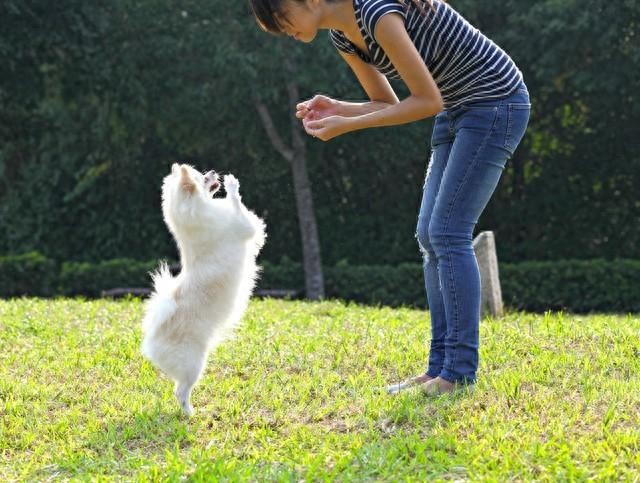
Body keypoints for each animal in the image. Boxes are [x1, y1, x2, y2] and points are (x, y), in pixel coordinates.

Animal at [142, 163, 264, 416]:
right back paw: (192, 413)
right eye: (202, 177)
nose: (213, 172)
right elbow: (240, 208)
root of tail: (152, 339)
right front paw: (232, 185)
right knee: (180, 391)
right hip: (194, 364)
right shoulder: (244, 226)